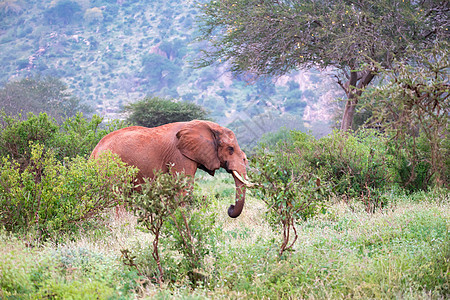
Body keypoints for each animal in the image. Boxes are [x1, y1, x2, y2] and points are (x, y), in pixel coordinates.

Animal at [90, 119, 253, 218]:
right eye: (230, 149)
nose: (230, 207)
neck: (209, 126)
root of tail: (94, 152)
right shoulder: (180, 156)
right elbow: (183, 188)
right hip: (112, 167)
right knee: (118, 196)